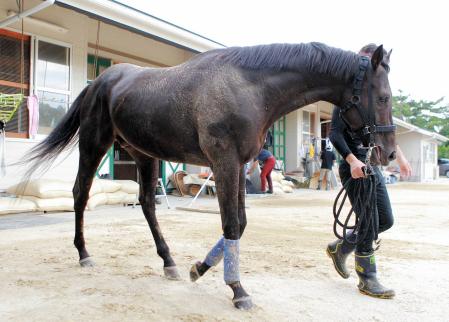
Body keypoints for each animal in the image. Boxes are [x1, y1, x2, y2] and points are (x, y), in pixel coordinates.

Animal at [26, 42, 394, 310]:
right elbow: (231, 225)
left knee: (147, 203)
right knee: (81, 193)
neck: (247, 87)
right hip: (93, 145)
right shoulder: (224, 163)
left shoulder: (238, 164)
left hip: (143, 154)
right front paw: (238, 289)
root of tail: (100, 82)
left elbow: (240, 224)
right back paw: (84, 254)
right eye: (383, 97)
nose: (387, 154)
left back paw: (168, 262)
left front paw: (199, 268)